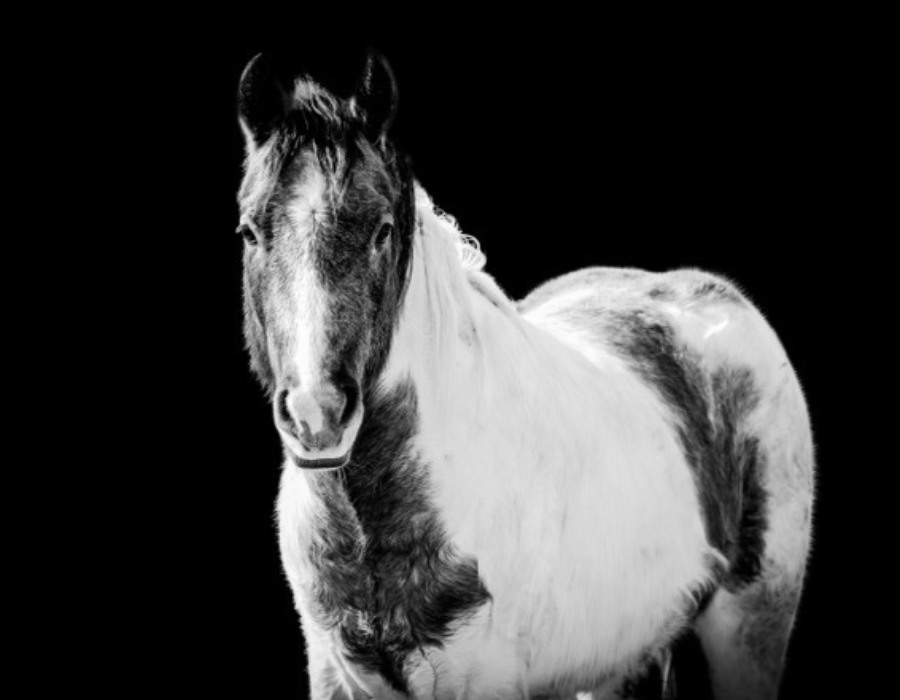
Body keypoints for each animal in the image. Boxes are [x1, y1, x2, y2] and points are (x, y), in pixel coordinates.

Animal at [234, 51, 815, 700]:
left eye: (383, 230)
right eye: (250, 231)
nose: (318, 416)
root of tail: (711, 296)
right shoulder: (334, 676)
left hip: (748, 631)